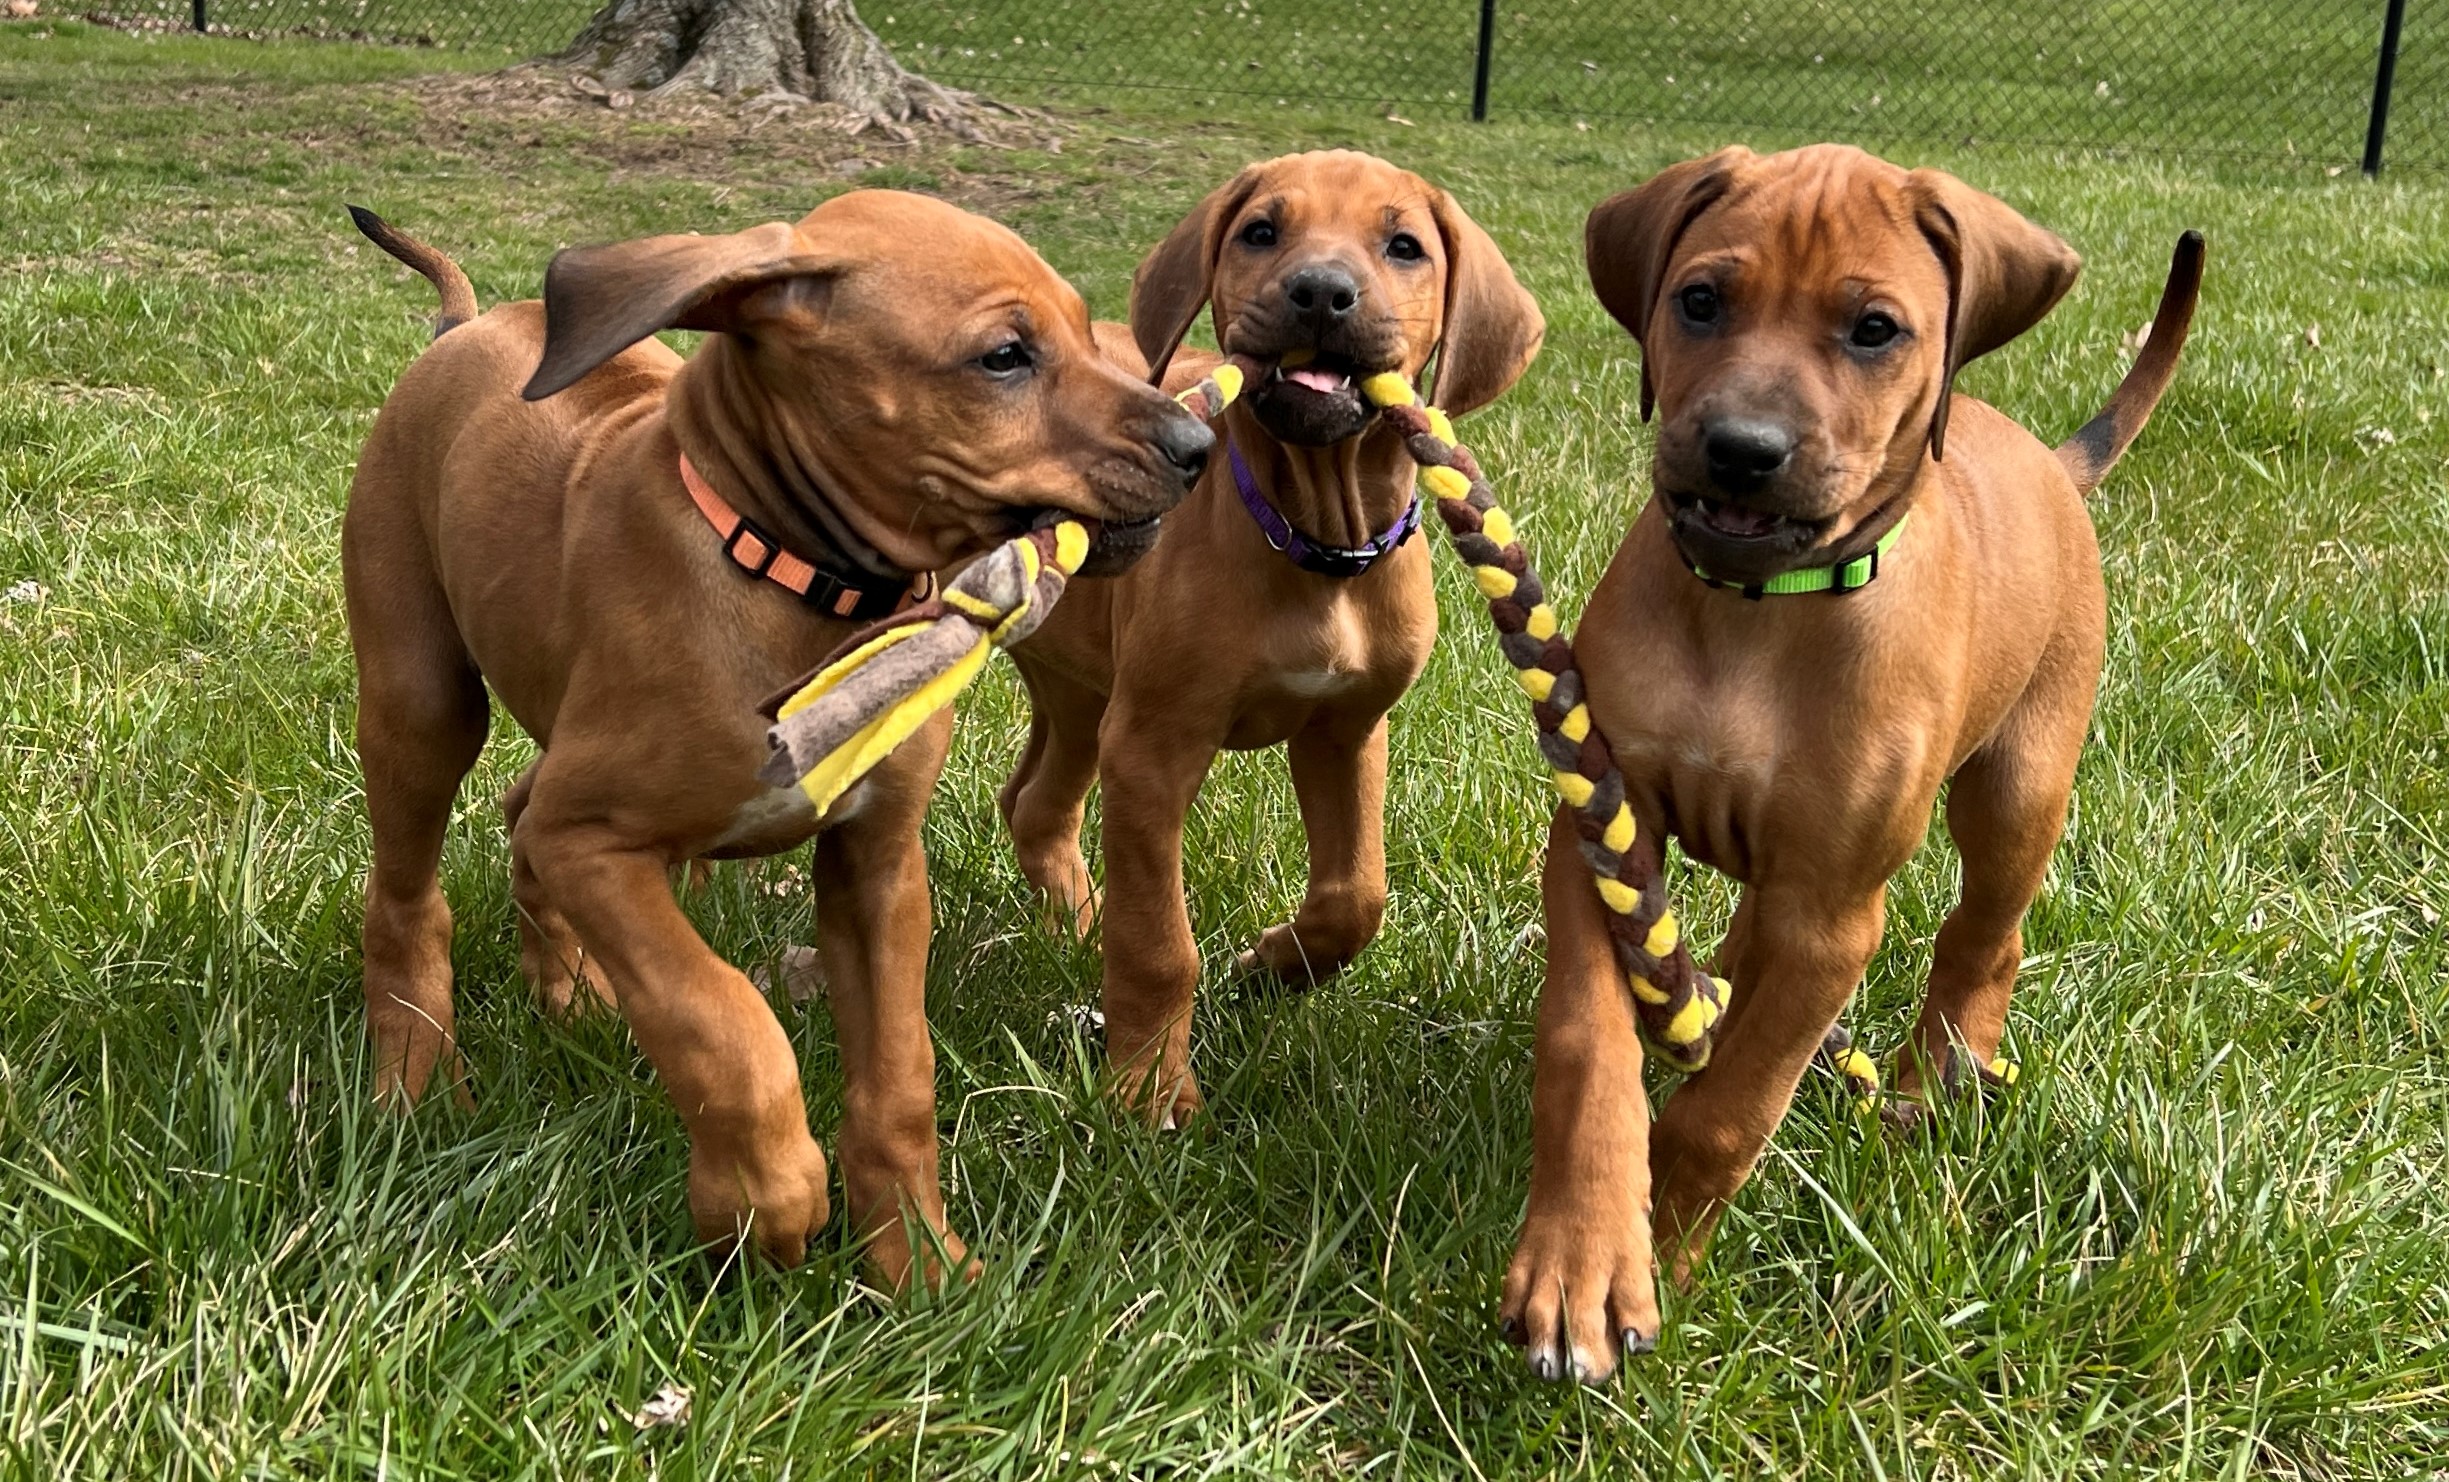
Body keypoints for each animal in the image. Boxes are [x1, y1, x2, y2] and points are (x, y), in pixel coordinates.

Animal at [343, 192, 1213, 1281]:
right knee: (408, 900)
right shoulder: (591, 843)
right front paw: (766, 1201)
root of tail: (464, 326)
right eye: (1005, 357)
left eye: (1087, 329)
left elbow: (900, 1079)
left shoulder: (877, 862)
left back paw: (568, 990)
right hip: (421, 699)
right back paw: (412, 1082)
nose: (1197, 446)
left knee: (514, 809)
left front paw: (918, 1263)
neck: (795, 589)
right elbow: (719, 1020)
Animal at [998, 151, 1543, 1124]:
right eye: (1260, 232)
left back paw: (1073, 928)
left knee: (1033, 803)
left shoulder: (1346, 731)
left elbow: (1356, 896)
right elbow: (1157, 941)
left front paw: (1273, 967)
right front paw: (1147, 1089)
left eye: (1404, 246)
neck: (1314, 536)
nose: (1320, 292)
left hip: (1080, 686)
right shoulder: (1152, 748)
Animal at [1500, 144, 2201, 1381]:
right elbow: (1588, 1048)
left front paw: (1664, 1251)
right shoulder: (1602, 825)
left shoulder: (1834, 911)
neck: (1755, 613)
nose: (1741, 449)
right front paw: (1584, 1258)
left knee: (1985, 937)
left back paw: (1935, 1083)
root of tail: (2048, 461)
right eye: (1699, 301)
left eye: (1874, 330)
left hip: (2019, 788)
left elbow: (1728, 1110)